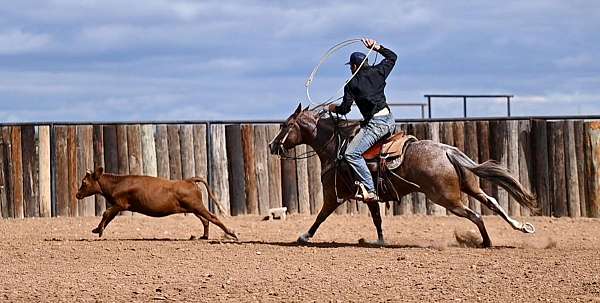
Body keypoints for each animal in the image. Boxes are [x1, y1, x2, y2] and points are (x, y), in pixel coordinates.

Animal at [77, 167, 239, 241]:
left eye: (84, 182)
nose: (77, 194)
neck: (117, 183)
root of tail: (189, 180)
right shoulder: (118, 207)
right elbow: (109, 217)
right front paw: (98, 230)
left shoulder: (121, 204)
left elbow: (106, 213)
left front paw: (98, 230)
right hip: (193, 208)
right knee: (205, 220)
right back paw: (204, 236)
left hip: (197, 206)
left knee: (212, 217)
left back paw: (231, 233)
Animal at [270, 105, 536, 249]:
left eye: (285, 125)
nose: (273, 146)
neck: (336, 146)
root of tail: (446, 151)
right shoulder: (370, 196)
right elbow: (377, 219)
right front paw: (379, 241)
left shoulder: (334, 195)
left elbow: (320, 216)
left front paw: (304, 236)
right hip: (470, 186)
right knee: (492, 203)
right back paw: (520, 227)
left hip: (446, 197)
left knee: (476, 214)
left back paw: (486, 242)